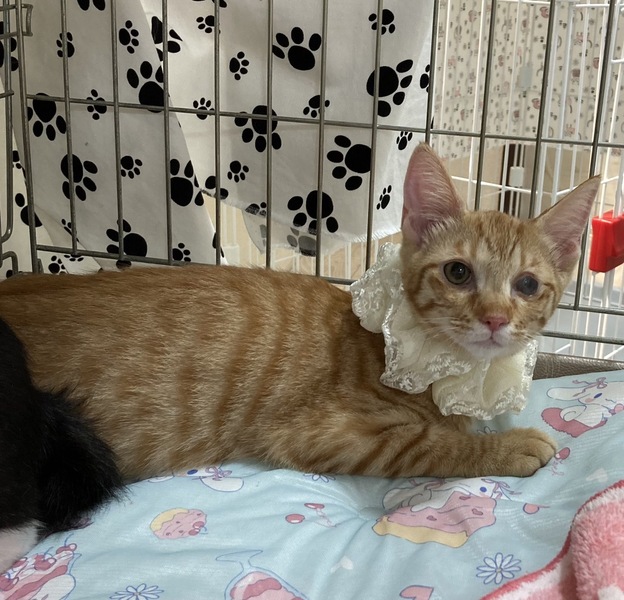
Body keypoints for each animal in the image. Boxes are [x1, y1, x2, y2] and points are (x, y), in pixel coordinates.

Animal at [0, 144, 599, 490]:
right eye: (457, 273)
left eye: (527, 285)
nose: (495, 318)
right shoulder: (323, 433)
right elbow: (427, 443)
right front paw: (507, 446)